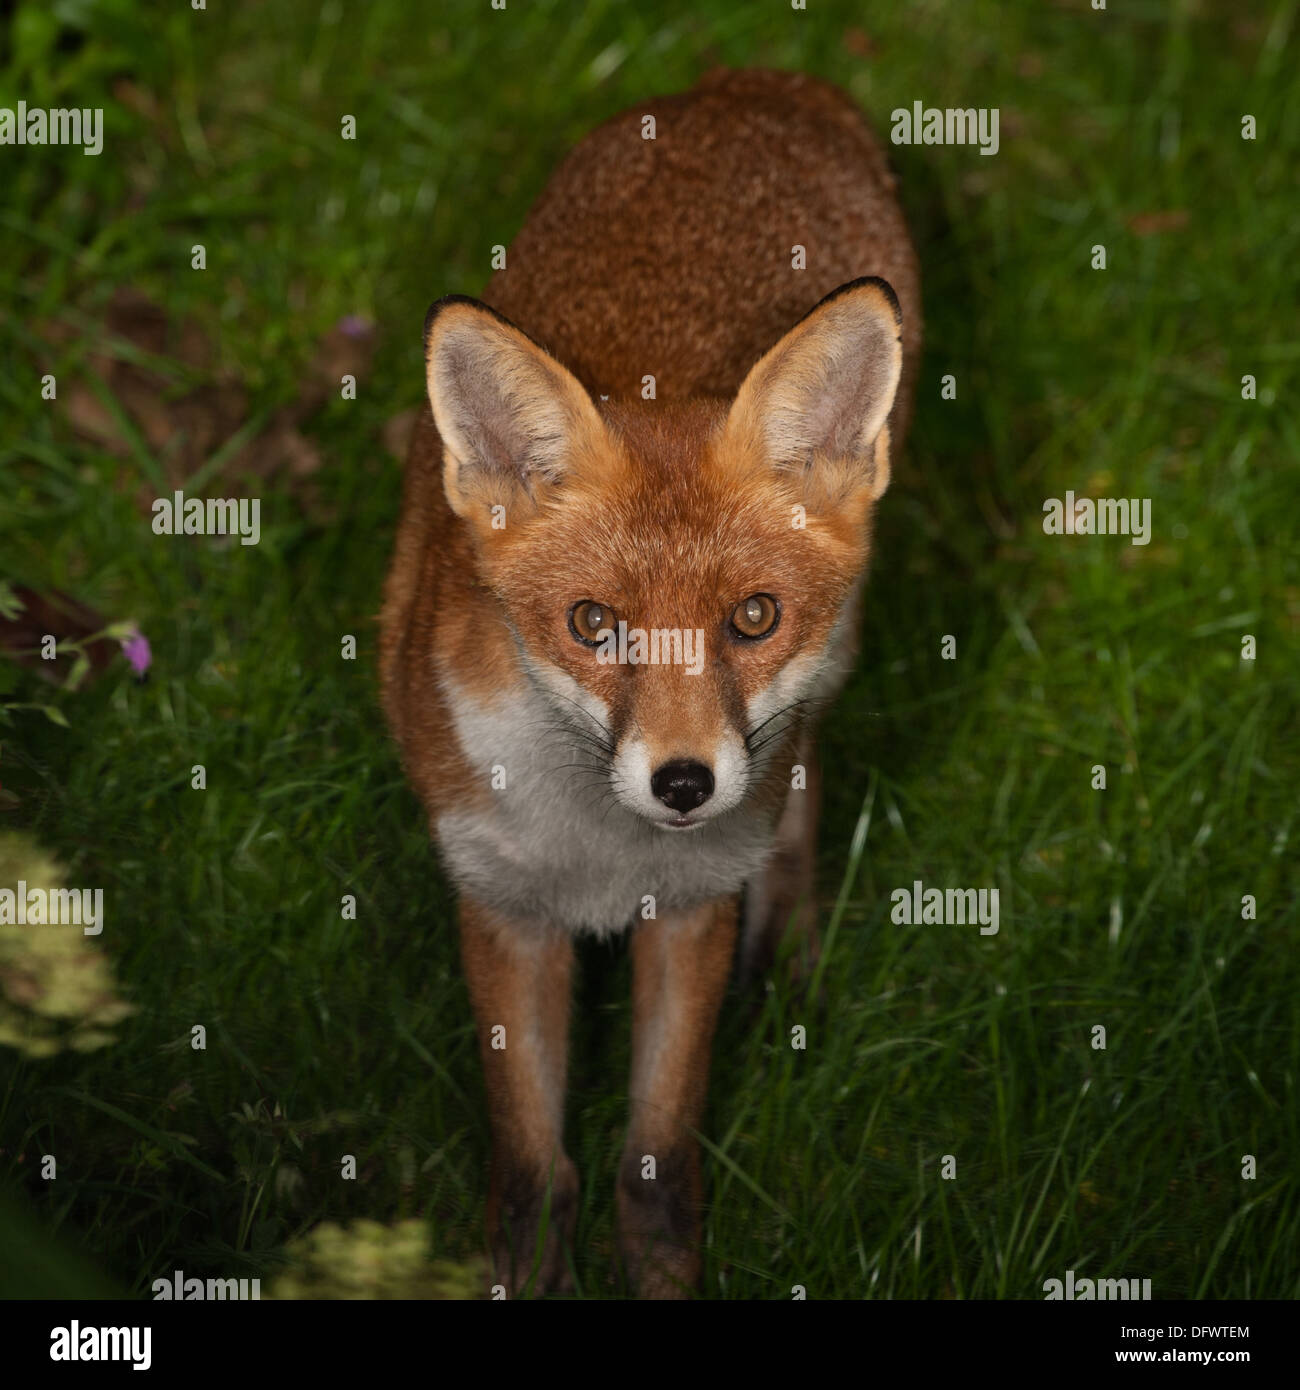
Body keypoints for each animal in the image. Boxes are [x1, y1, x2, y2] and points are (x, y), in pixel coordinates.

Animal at [380, 65, 917, 1295]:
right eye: (594, 625)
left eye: (753, 616)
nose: (683, 785)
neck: (601, 854)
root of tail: (755, 80)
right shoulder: (501, 910)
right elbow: (535, 1178)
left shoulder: (692, 911)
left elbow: (656, 1172)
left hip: (829, 673)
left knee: (806, 776)